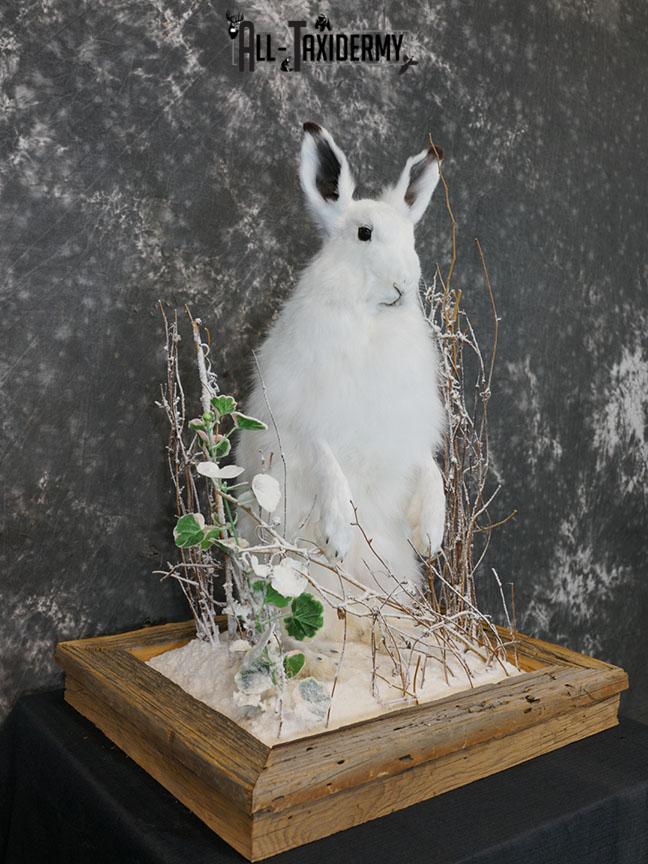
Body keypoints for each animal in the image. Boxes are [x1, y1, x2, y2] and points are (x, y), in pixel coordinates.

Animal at [236, 122, 446, 633]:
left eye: (411, 238)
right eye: (364, 234)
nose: (403, 284)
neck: (371, 323)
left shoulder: (410, 429)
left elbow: (429, 469)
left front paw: (433, 534)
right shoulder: (303, 420)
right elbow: (327, 462)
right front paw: (337, 536)